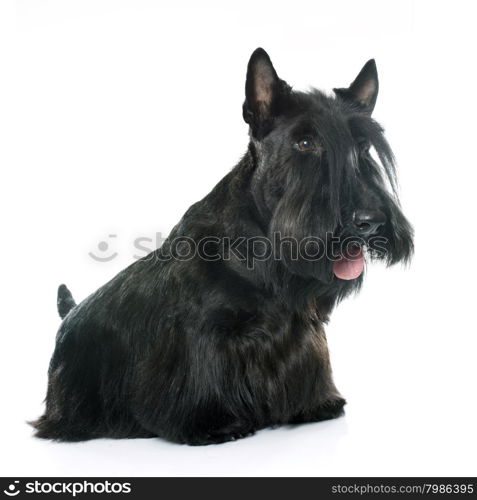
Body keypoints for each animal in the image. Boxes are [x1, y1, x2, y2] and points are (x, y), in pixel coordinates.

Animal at [32, 47, 412, 446]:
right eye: (305, 142)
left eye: (363, 145)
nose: (369, 221)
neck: (263, 255)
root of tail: (69, 317)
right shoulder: (201, 336)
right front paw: (213, 422)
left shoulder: (304, 330)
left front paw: (317, 404)